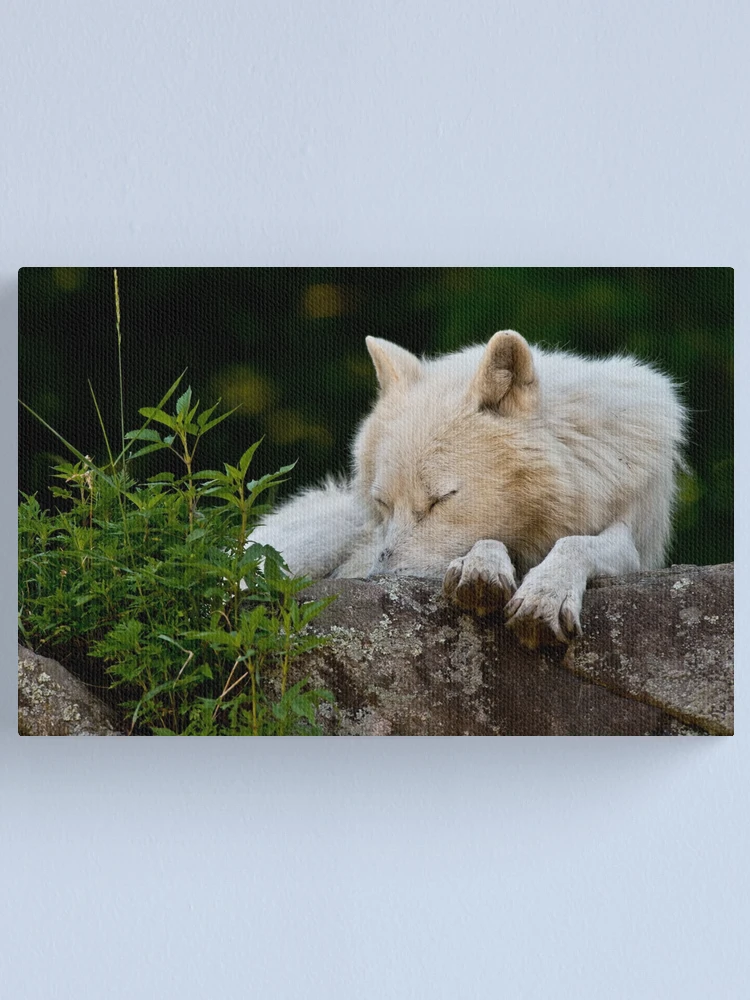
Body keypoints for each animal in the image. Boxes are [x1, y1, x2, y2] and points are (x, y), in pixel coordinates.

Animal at [251, 331, 685, 647]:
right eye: (384, 505)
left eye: (440, 500)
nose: (374, 580)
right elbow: (488, 544)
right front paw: (482, 568)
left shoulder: (637, 534)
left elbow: (578, 544)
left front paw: (545, 595)